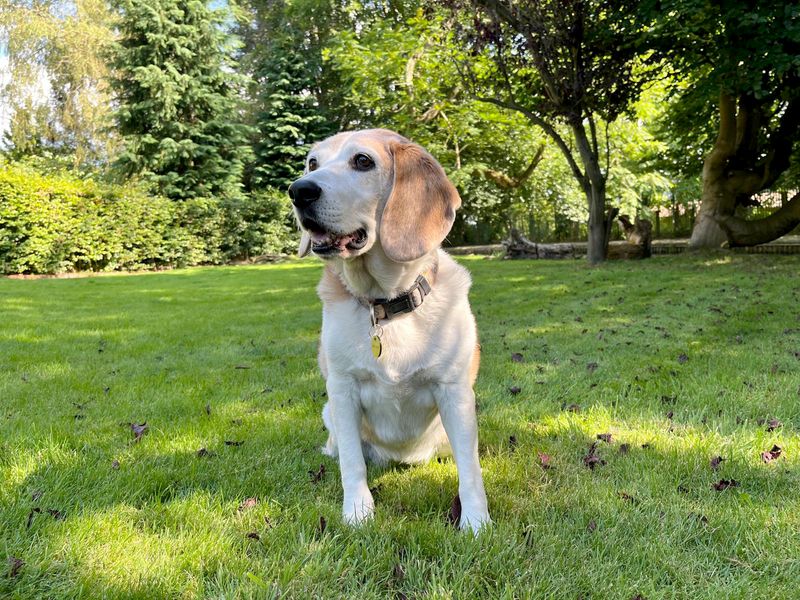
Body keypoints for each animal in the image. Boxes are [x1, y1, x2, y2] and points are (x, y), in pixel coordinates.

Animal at [288, 126, 488, 528]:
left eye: (363, 161)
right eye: (313, 163)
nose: (299, 190)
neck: (386, 304)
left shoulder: (455, 393)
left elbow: (470, 471)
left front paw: (476, 522)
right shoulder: (343, 390)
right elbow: (352, 463)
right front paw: (357, 513)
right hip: (330, 412)